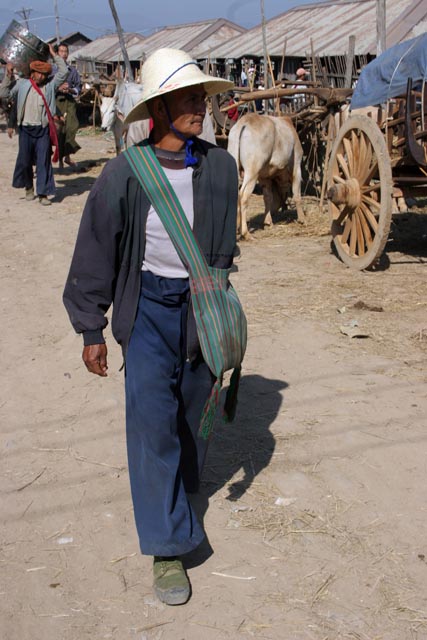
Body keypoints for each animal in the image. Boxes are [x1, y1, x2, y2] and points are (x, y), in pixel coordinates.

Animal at [227, 112, 304, 240]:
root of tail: (244, 122)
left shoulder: (264, 178)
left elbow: (267, 198)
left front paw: (268, 222)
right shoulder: (297, 166)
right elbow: (297, 195)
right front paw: (302, 219)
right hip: (252, 172)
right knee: (243, 196)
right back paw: (245, 233)